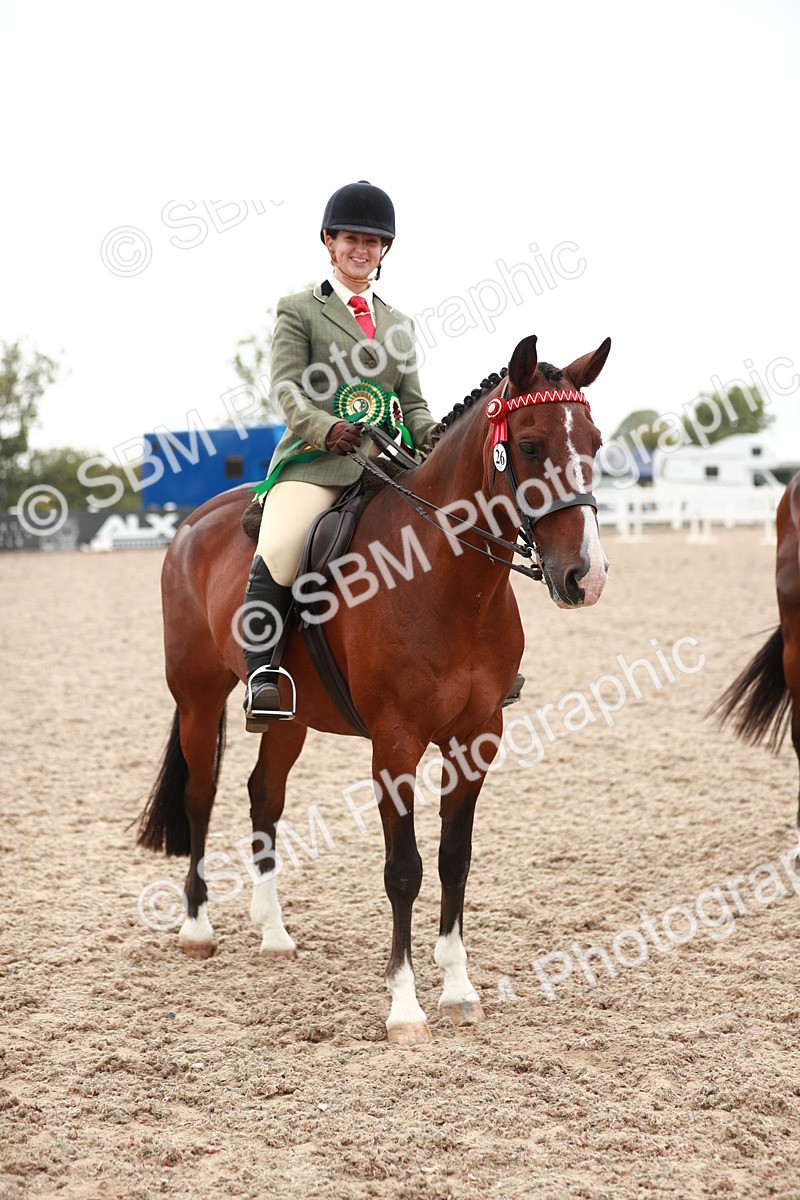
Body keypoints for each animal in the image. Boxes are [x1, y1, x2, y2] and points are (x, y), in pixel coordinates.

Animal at [137, 332, 612, 1045]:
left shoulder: (478, 737)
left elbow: (453, 859)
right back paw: (197, 928)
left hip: (290, 716)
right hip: (196, 697)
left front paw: (459, 991)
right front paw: (405, 1008)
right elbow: (404, 869)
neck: (449, 580)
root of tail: (193, 523)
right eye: (529, 446)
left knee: (263, 795)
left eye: (595, 442)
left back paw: (274, 934)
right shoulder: (395, 743)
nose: (586, 576)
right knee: (201, 794)